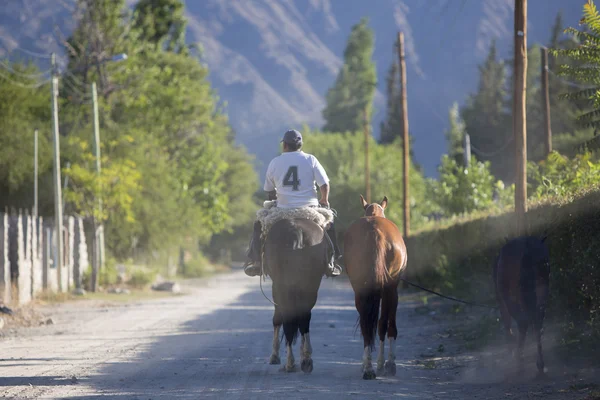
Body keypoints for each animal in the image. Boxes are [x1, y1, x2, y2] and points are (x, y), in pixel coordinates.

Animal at [264, 217, 330, 374]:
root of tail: (296, 230)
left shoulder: (276, 288)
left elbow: (277, 319)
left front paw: (274, 356)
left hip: (283, 287)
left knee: (290, 318)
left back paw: (292, 362)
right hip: (309, 285)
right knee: (303, 317)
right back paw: (305, 360)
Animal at [342, 195, 408, 380]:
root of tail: (375, 231)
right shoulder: (392, 289)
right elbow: (386, 323)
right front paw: (386, 363)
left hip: (363, 289)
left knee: (367, 324)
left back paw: (368, 367)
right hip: (388, 288)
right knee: (379, 323)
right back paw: (377, 366)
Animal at [494, 236, 552, 380]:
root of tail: (527, 247)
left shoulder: (503, 300)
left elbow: (508, 323)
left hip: (510, 297)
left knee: (523, 323)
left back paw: (520, 363)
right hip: (542, 289)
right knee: (538, 324)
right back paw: (540, 366)